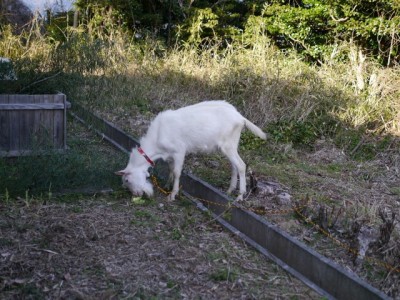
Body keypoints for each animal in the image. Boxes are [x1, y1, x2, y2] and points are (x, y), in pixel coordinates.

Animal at [115, 101, 266, 202]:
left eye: (127, 180)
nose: (136, 195)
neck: (157, 138)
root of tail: (240, 117)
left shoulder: (179, 151)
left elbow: (177, 172)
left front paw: (172, 194)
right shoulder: (169, 155)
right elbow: (171, 169)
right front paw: (167, 185)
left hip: (228, 144)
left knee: (241, 165)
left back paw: (240, 195)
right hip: (230, 146)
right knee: (234, 166)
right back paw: (229, 190)